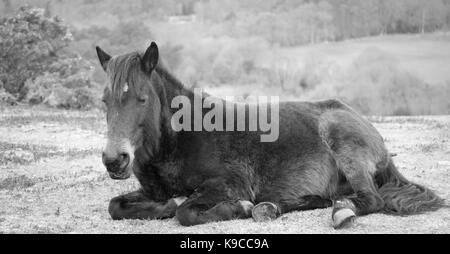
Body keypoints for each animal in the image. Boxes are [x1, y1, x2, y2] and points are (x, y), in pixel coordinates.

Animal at [95, 41, 442, 228]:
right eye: (104, 100)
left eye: (141, 99)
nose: (115, 160)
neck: (181, 139)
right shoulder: (151, 191)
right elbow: (116, 206)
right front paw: (167, 204)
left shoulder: (226, 184)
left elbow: (186, 212)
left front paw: (237, 208)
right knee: (323, 197)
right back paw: (270, 208)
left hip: (344, 144)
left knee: (370, 198)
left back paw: (341, 211)